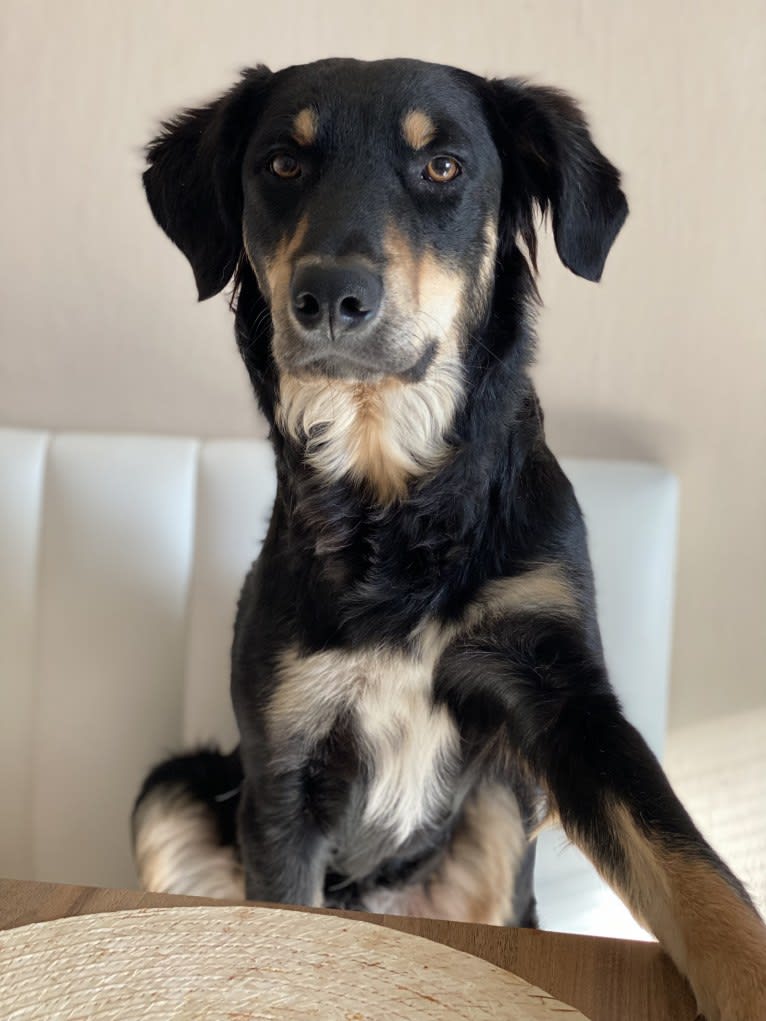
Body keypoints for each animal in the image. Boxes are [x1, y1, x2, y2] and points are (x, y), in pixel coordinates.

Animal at [133, 59, 766, 1016]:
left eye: (443, 168)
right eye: (281, 163)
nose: (330, 298)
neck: (397, 505)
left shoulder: (565, 696)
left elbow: (690, 867)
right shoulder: (284, 763)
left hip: (502, 800)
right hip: (173, 789)